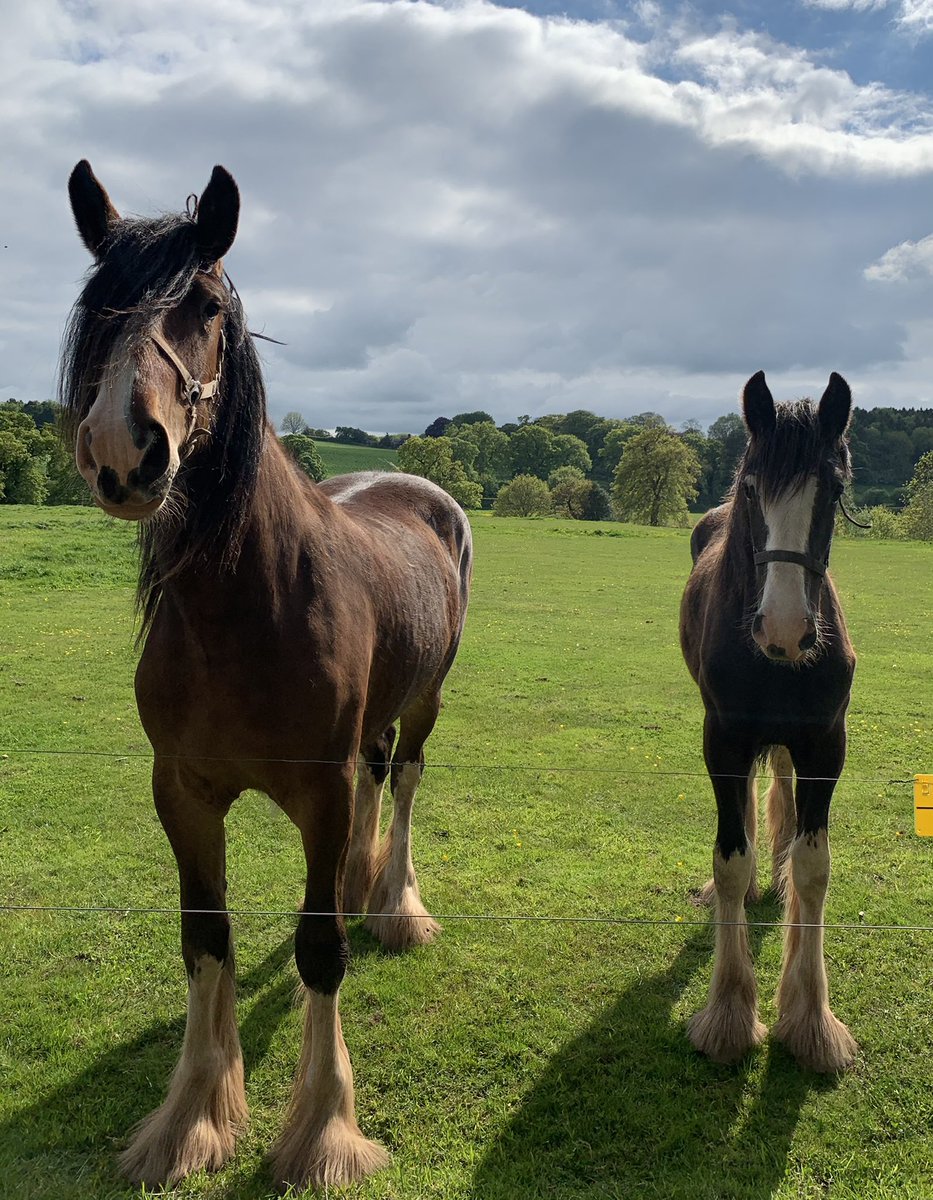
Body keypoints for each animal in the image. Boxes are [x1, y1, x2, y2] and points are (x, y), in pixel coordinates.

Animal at [61, 160, 472, 1190]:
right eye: (97, 305)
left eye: (205, 305)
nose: (124, 450)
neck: (243, 608)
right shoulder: (182, 792)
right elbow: (206, 936)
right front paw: (192, 1119)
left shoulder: (317, 794)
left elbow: (318, 946)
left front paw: (322, 1132)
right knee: (377, 782)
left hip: (425, 702)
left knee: (404, 782)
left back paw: (393, 904)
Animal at [679, 370, 857, 1074]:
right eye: (753, 485)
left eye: (833, 489)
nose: (783, 628)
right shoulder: (724, 742)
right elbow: (730, 859)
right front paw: (729, 1014)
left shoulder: (824, 747)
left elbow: (814, 870)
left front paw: (811, 1021)